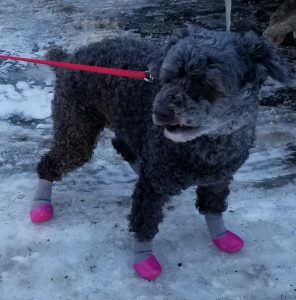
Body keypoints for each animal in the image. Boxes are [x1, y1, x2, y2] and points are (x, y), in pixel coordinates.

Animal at [30, 27, 290, 280]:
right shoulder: (153, 185)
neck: (209, 143)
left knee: (121, 145)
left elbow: (213, 207)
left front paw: (221, 235)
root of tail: (70, 57)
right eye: (169, 77)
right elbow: (145, 221)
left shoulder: (218, 179)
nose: (160, 113)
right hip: (76, 126)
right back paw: (40, 203)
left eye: (207, 83)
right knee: (51, 162)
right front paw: (143, 259)